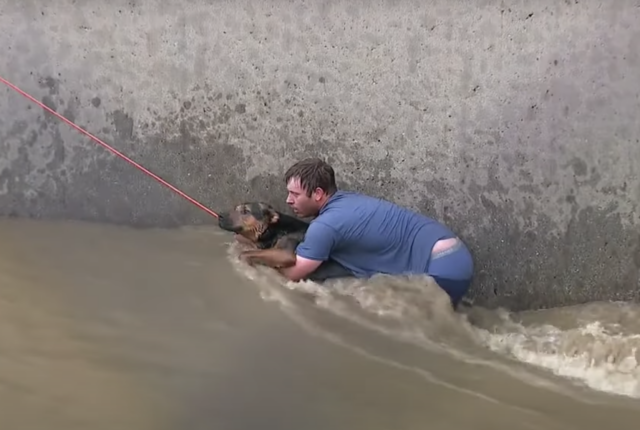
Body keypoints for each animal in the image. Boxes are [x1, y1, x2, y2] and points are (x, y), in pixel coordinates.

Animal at [218, 202, 352, 282]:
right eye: (235, 209)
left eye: (245, 211)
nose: (220, 215)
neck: (274, 230)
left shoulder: (286, 254)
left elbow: (244, 254)